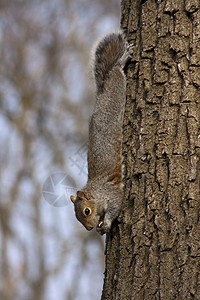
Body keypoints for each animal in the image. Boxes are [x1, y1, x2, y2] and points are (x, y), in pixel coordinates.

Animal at [70, 32, 133, 234]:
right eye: (77, 217)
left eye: (87, 211)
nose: (89, 228)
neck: (97, 192)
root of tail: (102, 92)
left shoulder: (112, 195)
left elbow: (115, 208)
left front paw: (105, 224)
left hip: (117, 89)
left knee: (117, 72)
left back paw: (122, 59)